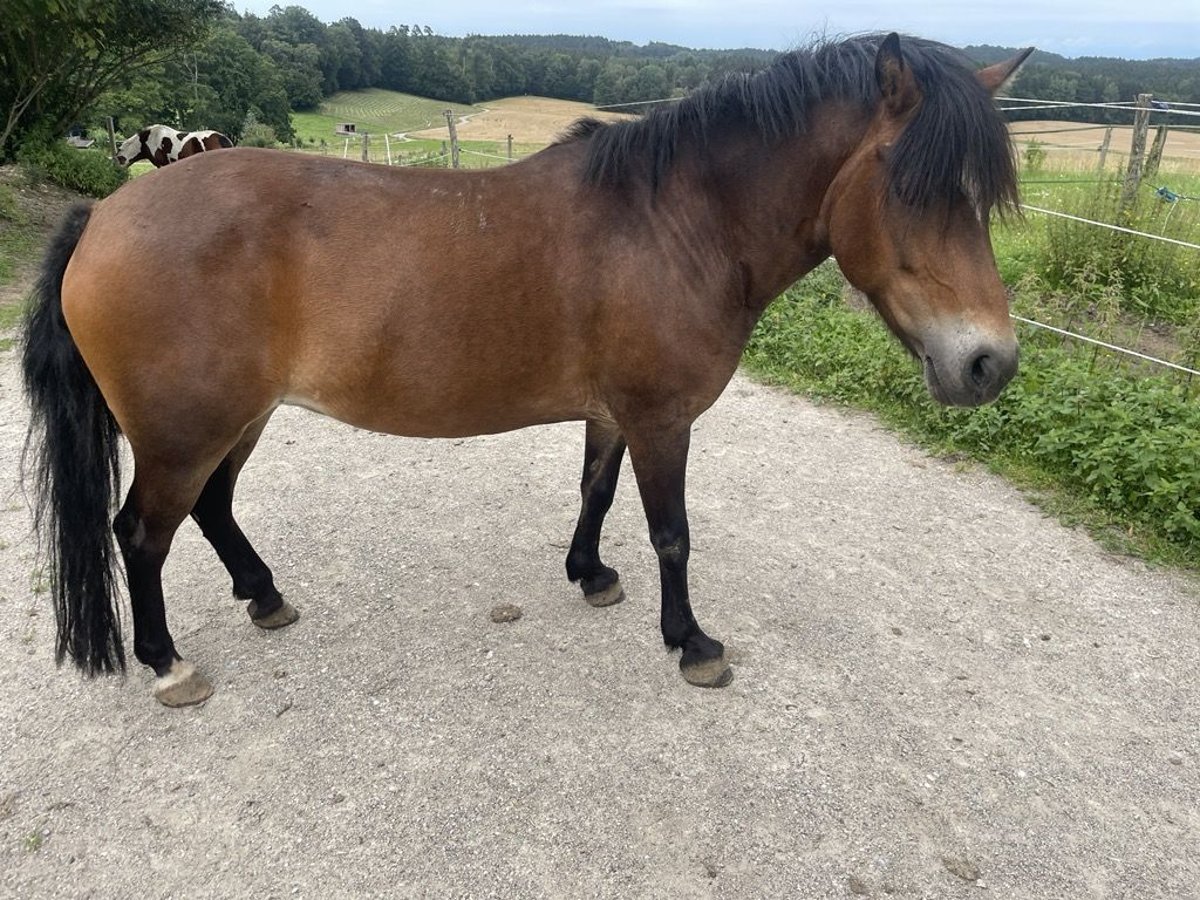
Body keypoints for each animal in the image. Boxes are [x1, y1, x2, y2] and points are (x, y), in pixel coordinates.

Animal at [21, 35, 1032, 710]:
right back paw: (168, 663)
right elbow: (672, 533)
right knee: (141, 533)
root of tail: (104, 218)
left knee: (211, 508)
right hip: (185, 430)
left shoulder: (616, 412)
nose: (990, 363)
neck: (672, 223)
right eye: (912, 187)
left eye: (982, 197)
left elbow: (595, 492)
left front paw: (590, 574)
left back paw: (264, 596)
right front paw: (691, 642)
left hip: (238, 417)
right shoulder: (662, 419)